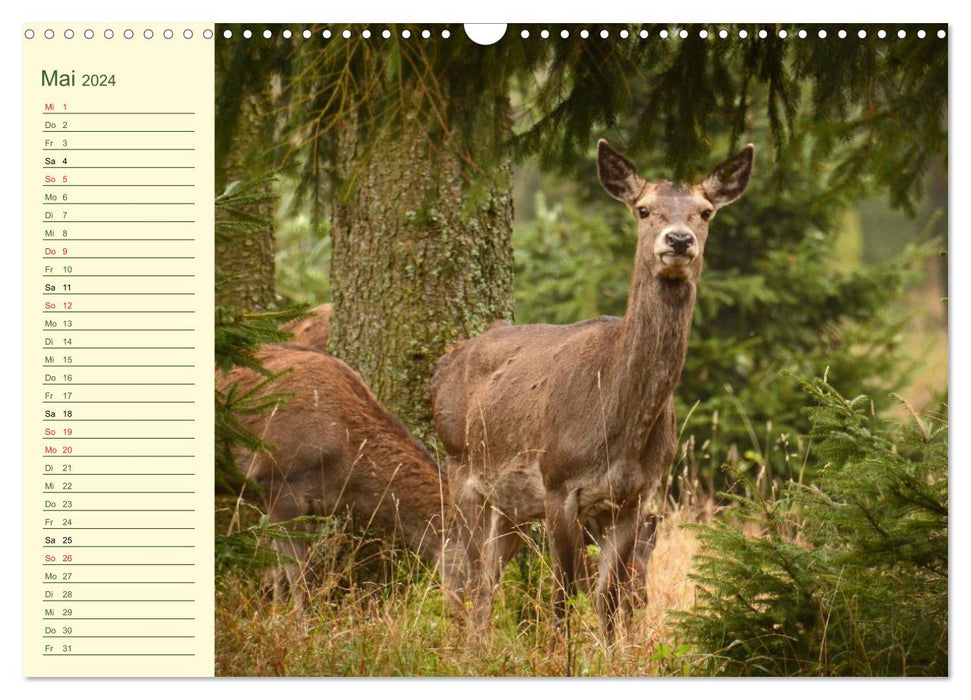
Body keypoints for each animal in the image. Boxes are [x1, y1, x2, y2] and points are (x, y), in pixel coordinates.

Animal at [430, 138, 756, 636]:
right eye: (643, 209)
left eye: (705, 212)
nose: (679, 239)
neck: (620, 430)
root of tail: (443, 366)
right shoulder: (559, 485)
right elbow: (562, 599)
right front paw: (557, 651)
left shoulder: (633, 497)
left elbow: (610, 600)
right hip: (461, 469)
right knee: (462, 577)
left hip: (510, 506)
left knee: (485, 584)